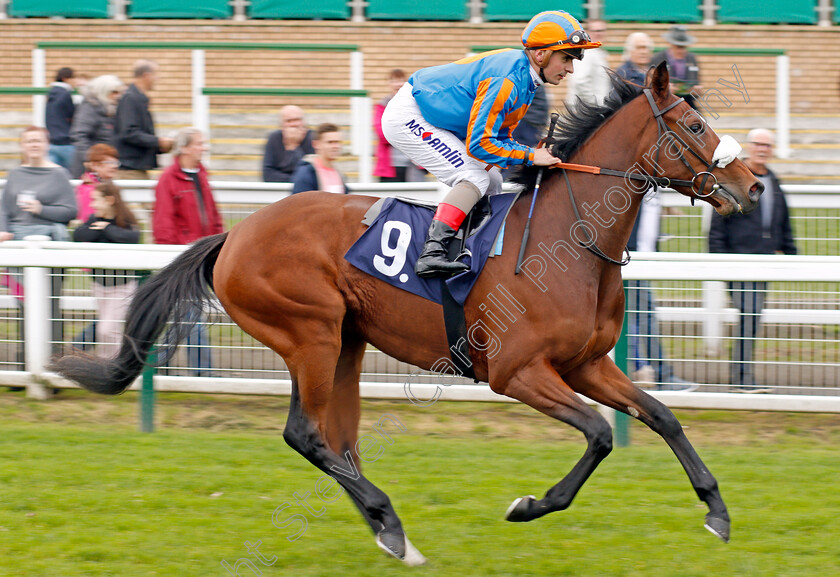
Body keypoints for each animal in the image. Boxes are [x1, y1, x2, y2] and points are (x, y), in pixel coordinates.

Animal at [50, 64, 760, 564]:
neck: (571, 237)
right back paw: (388, 520)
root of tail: (235, 235)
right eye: (694, 128)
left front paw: (717, 512)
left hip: (346, 343)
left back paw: (390, 532)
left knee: (337, 439)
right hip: (309, 333)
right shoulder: (517, 372)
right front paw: (529, 504)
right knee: (306, 435)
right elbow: (600, 434)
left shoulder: (585, 364)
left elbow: (662, 416)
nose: (752, 184)